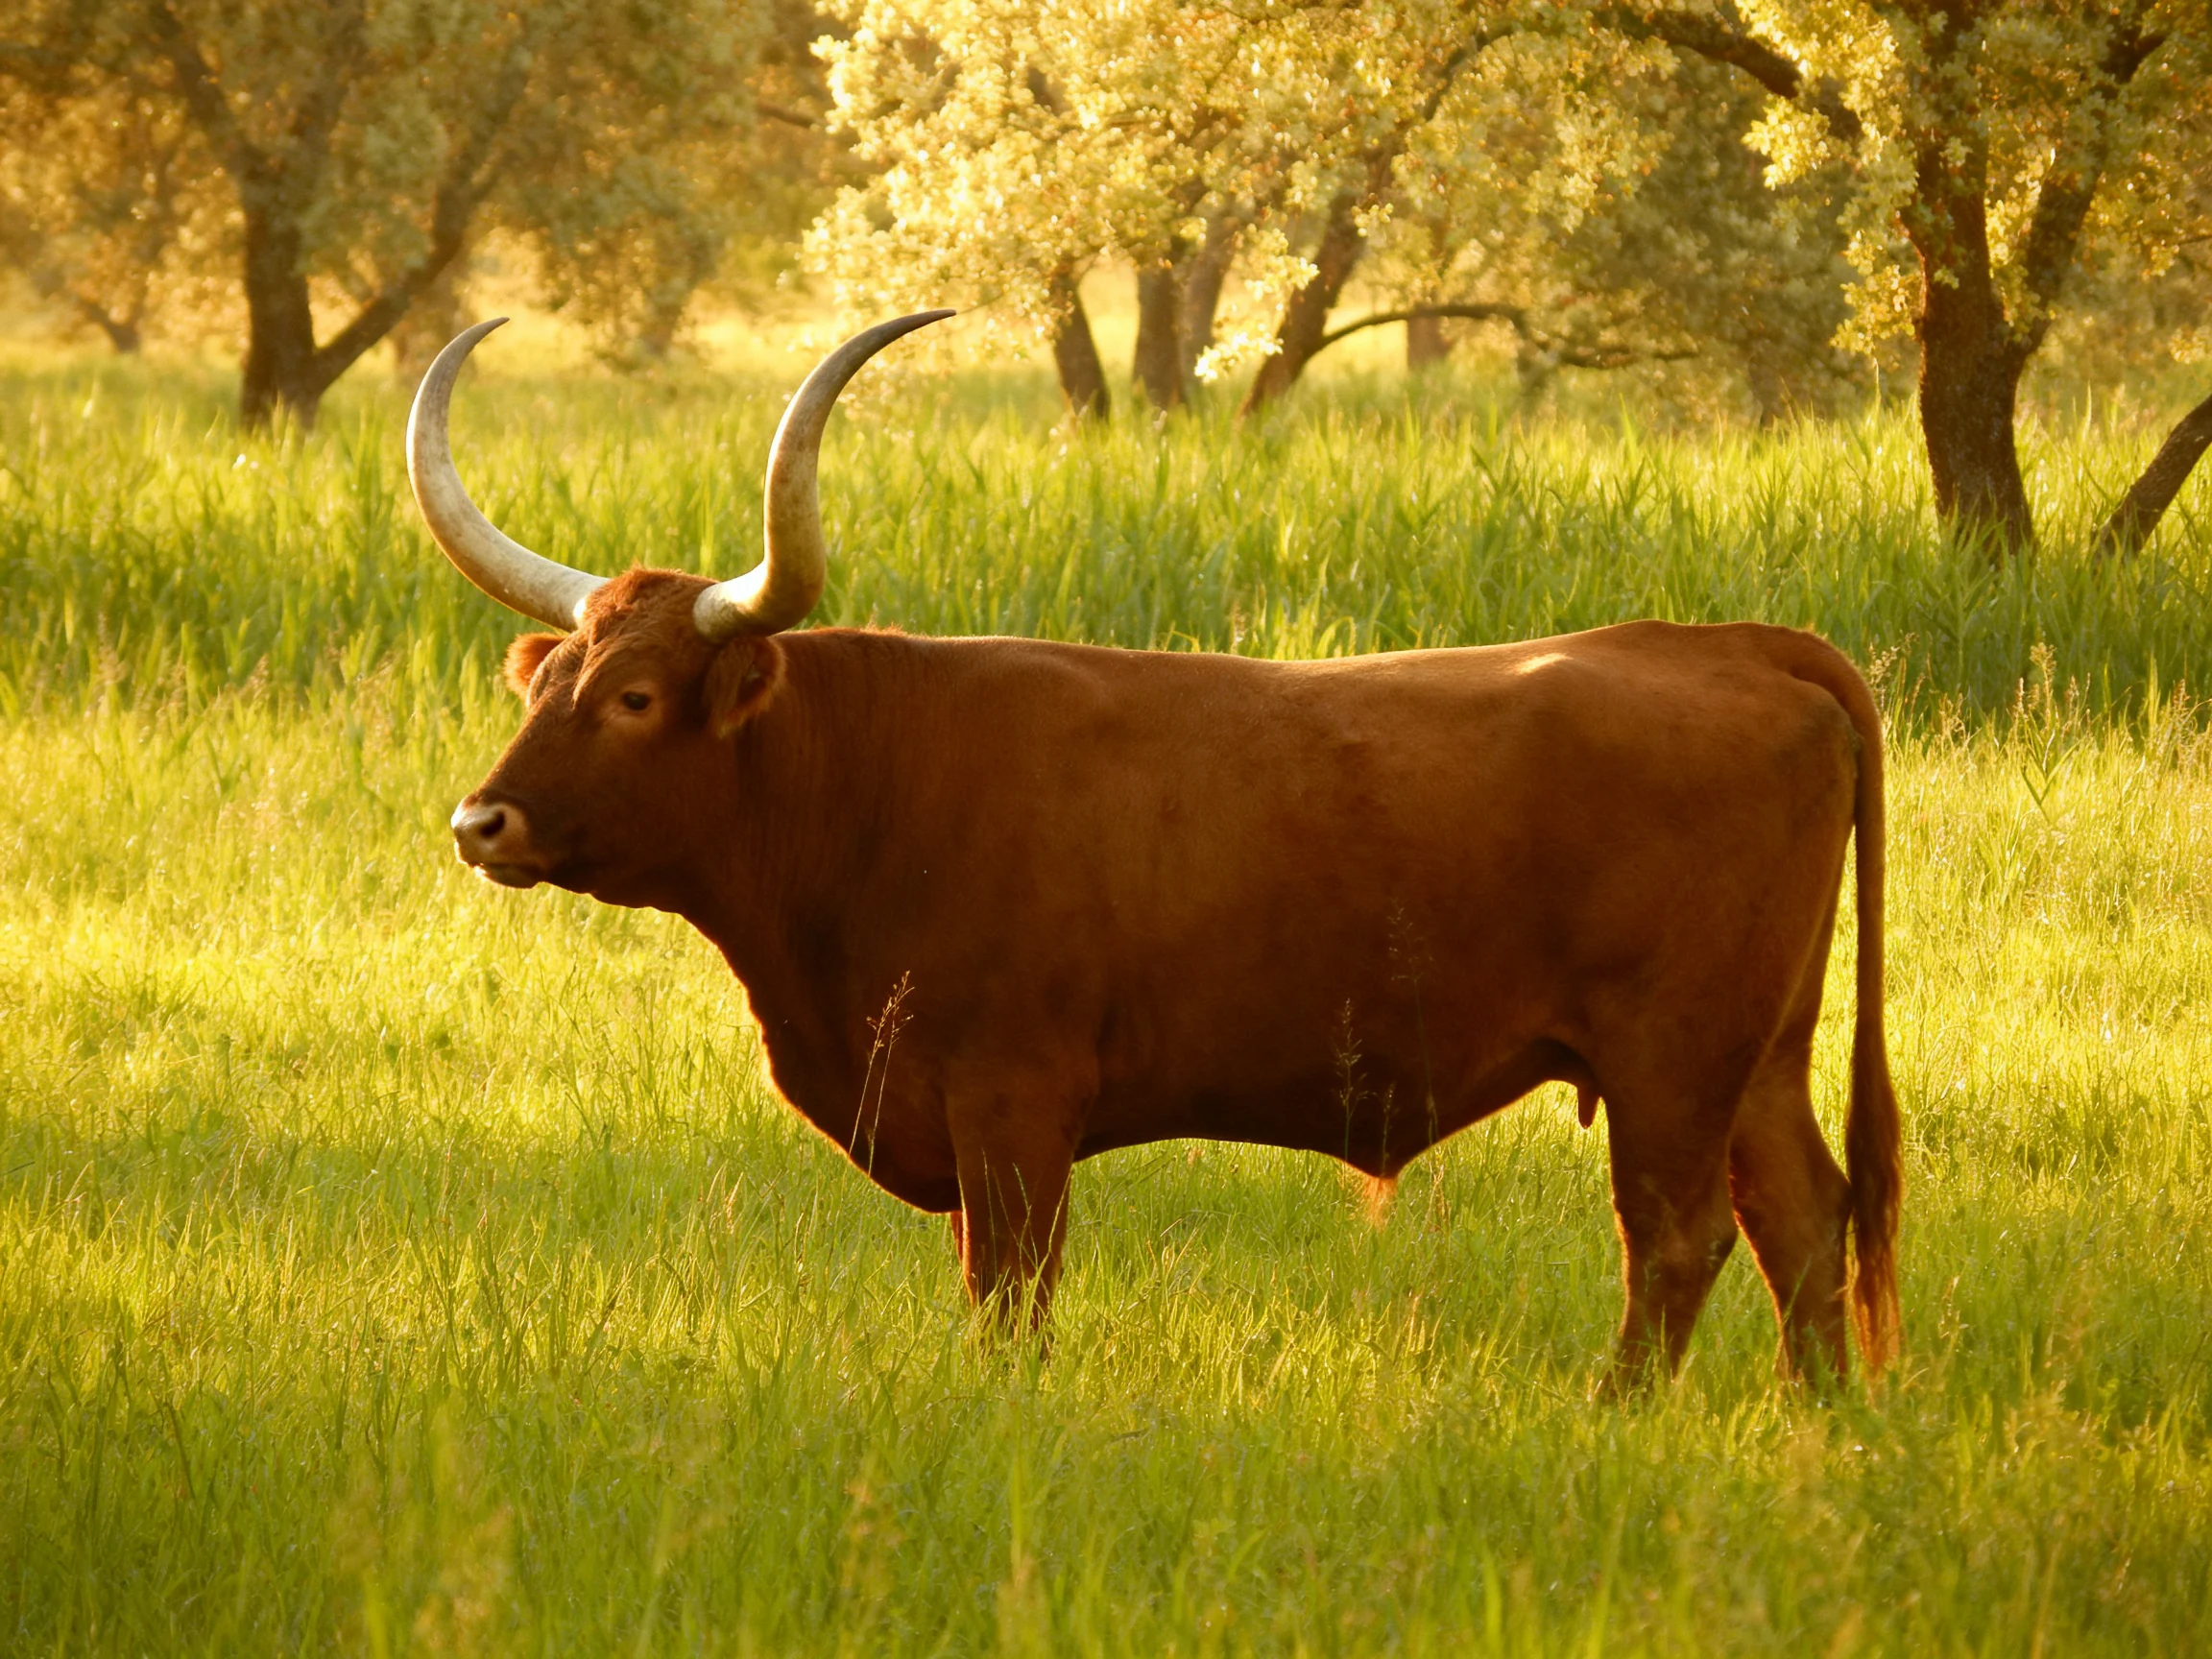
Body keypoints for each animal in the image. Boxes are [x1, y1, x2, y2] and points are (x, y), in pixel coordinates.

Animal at [408, 311, 1901, 1387]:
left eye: (634, 698)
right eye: (546, 683)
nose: (483, 822)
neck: (871, 785)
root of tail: (1733, 644)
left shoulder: (1013, 1105)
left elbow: (1009, 1300)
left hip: (1671, 1060)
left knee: (1678, 1240)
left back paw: (1617, 1416)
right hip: (1760, 1057)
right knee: (1805, 1221)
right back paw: (1816, 1420)